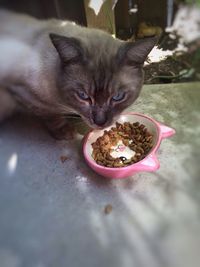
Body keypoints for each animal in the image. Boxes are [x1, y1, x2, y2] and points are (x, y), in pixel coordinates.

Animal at [0, 9, 157, 140]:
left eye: (118, 97)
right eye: (83, 96)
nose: (100, 122)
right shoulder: (22, 91)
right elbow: (50, 114)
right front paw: (65, 132)